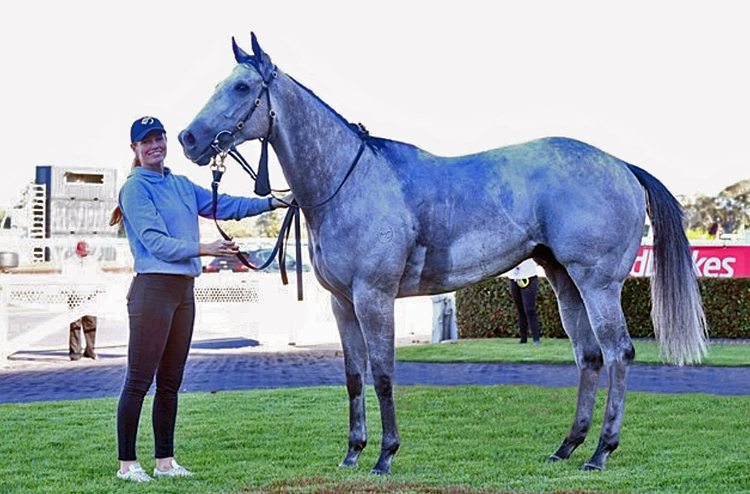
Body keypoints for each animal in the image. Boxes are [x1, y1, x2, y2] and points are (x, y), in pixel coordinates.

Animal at [179, 33, 708, 473]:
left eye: (242, 87)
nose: (188, 138)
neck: (348, 181)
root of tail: (621, 165)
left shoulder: (374, 298)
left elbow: (383, 373)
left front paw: (385, 456)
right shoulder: (342, 303)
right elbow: (353, 376)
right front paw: (352, 453)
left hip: (598, 283)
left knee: (619, 353)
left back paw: (600, 452)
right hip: (564, 280)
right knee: (590, 357)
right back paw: (567, 447)